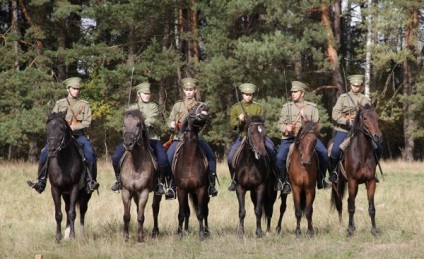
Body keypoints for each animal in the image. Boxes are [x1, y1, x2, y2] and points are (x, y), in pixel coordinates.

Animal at [43, 110, 92, 243]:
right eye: (47, 129)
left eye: (61, 128)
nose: (52, 150)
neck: (63, 161)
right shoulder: (55, 189)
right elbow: (59, 214)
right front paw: (58, 237)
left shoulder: (74, 188)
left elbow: (72, 213)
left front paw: (72, 236)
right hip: (65, 194)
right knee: (66, 208)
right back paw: (66, 233)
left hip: (85, 193)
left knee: (82, 209)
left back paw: (81, 233)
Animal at [120, 110, 161, 244]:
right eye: (124, 124)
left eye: (138, 124)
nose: (128, 144)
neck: (136, 164)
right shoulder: (126, 191)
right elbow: (127, 216)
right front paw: (125, 237)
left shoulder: (144, 191)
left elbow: (141, 216)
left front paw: (140, 238)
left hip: (157, 193)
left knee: (155, 209)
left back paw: (155, 232)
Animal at [172, 102, 210, 242]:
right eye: (192, 108)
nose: (205, 106)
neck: (189, 161)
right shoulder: (181, 190)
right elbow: (181, 214)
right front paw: (180, 234)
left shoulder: (201, 189)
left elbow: (200, 213)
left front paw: (201, 235)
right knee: (187, 211)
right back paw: (186, 231)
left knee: (205, 211)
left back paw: (207, 232)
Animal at [330, 103, 382, 238]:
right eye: (365, 118)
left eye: (377, 118)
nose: (378, 136)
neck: (362, 154)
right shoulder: (352, 181)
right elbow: (351, 208)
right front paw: (349, 231)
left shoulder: (370, 181)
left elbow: (371, 208)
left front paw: (374, 231)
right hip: (337, 184)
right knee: (340, 204)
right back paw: (343, 226)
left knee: (349, 201)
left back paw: (353, 226)